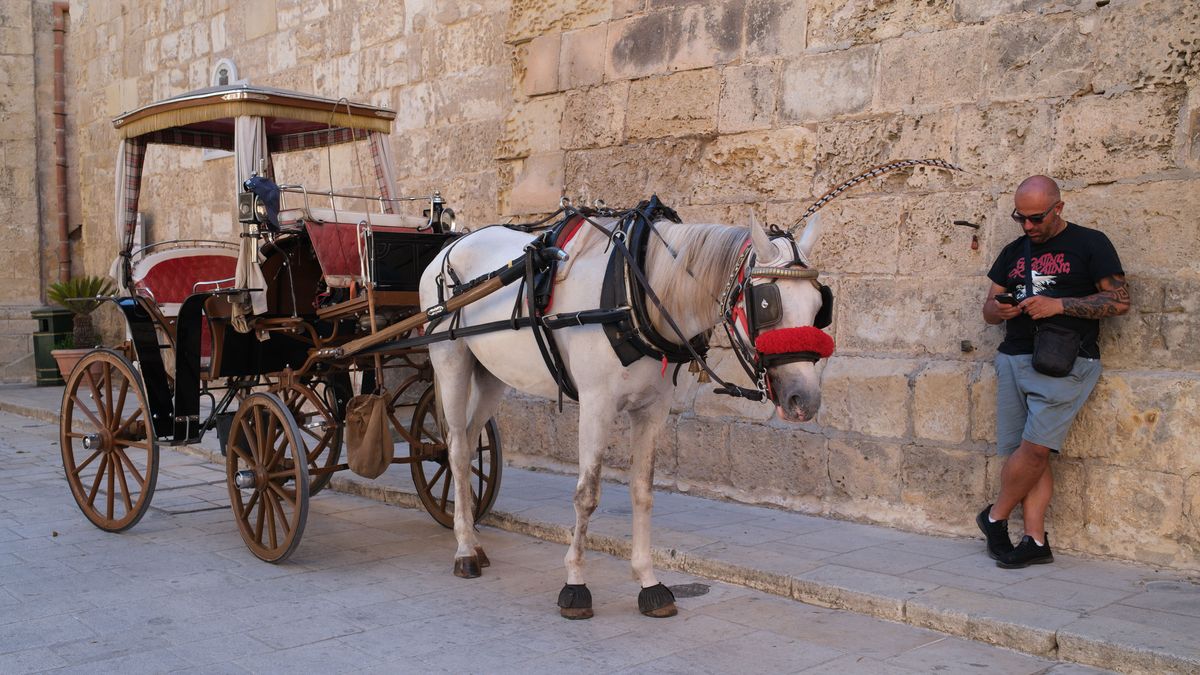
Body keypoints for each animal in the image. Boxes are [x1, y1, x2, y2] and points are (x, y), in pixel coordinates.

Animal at [417, 210, 832, 619]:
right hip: (451, 360)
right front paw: (575, 584)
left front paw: (648, 581)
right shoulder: (596, 405)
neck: (637, 293)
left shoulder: (652, 410)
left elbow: (642, 491)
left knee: (470, 438)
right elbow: (587, 495)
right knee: (457, 451)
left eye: (819, 305)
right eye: (766, 305)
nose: (804, 399)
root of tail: (452, 245)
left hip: (491, 374)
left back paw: (472, 538)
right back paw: (465, 550)